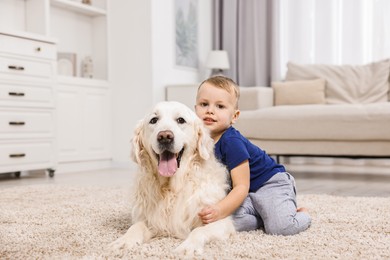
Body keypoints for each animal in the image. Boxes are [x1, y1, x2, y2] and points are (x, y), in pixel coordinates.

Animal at [111, 101, 236, 256]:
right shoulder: (151, 220)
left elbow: (199, 231)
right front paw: (125, 241)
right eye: (154, 120)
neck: (171, 189)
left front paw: (188, 247)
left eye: (181, 120)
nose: (165, 136)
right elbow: (136, 226)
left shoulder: (220, 220)